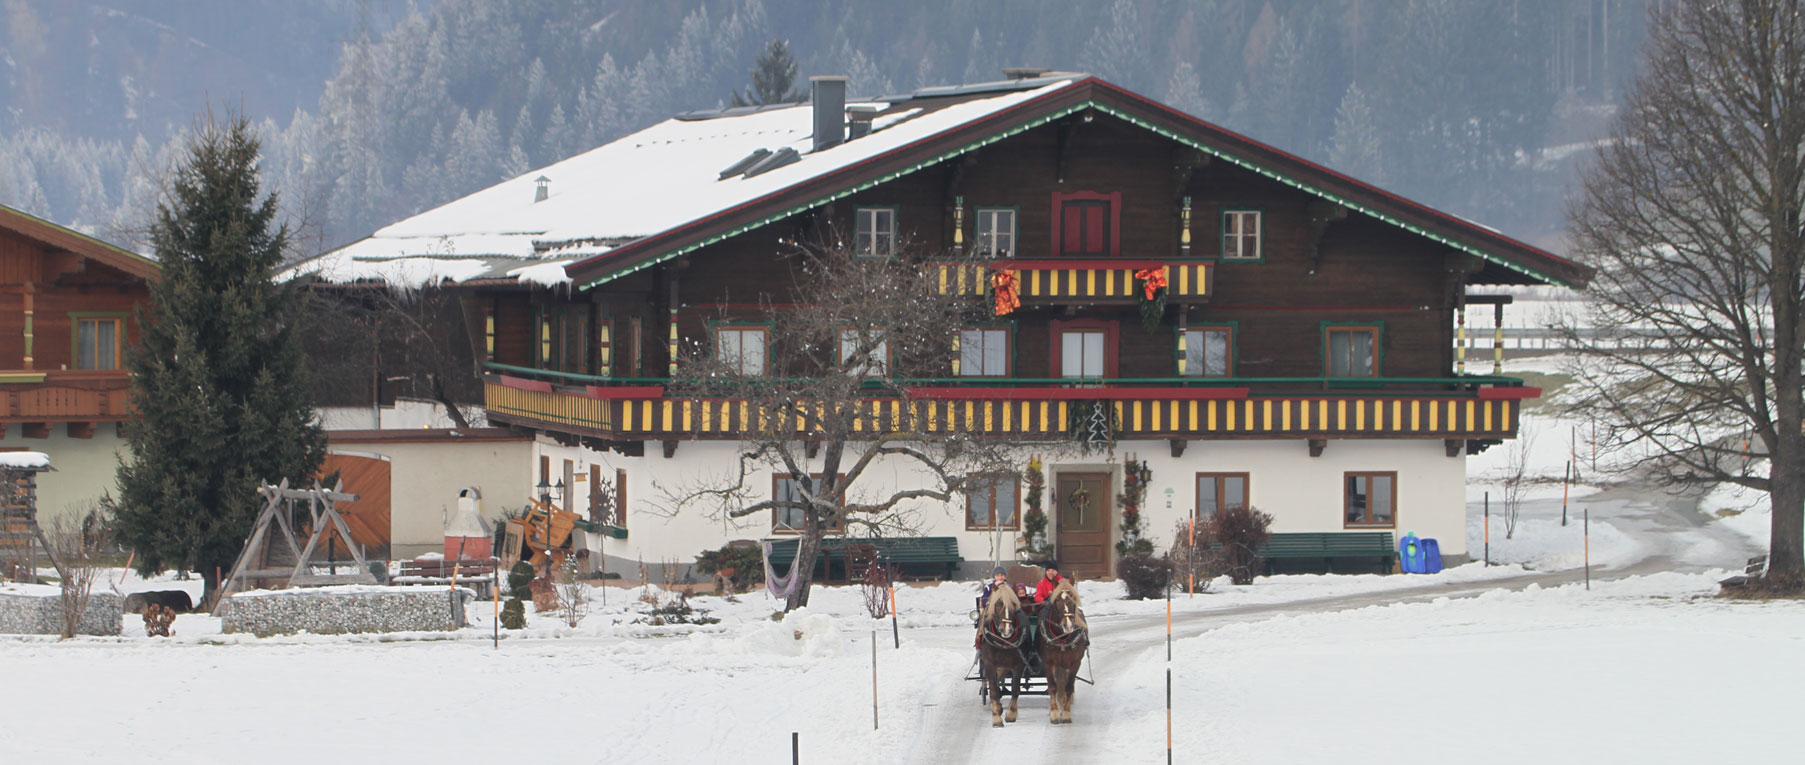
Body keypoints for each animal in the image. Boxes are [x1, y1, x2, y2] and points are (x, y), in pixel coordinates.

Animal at [974, 584, 1032, 728]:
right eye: (998, 604)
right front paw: (996, 717)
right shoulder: (989, 663)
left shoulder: (1019, 664)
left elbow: (1015, 688)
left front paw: (1011, 714)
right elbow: (994, 690)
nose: (1007, 630)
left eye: (1013, 604)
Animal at [1039, 580, 1090, 721]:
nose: (1068, 625)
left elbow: (1068, 686)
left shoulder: (1075, 663)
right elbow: (1052, 687)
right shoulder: (1048, 663)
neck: (1062, 638)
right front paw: (1054, 713)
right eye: (1057, 601)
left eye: (1073, 600)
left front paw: (1066, 713)